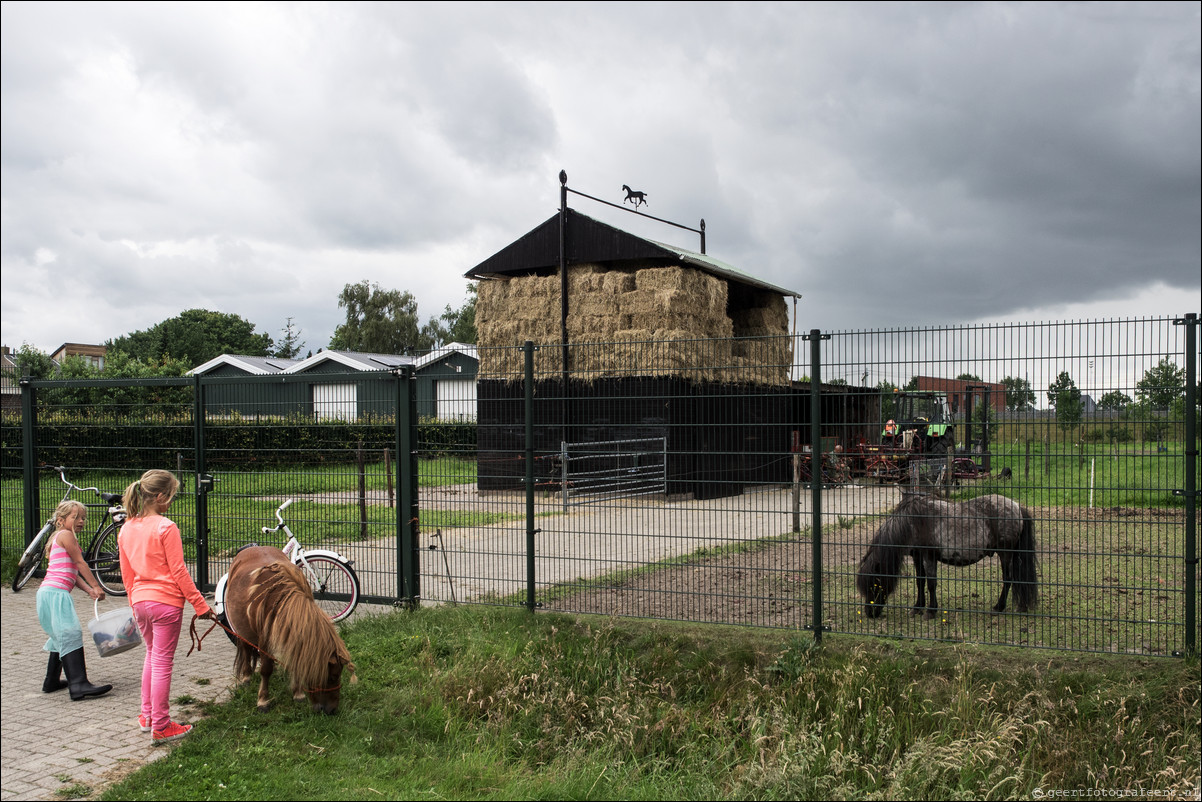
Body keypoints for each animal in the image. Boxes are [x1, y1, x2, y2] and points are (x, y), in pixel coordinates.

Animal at [225, 545, 353, 716]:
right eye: (332, 677)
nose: (332, 710)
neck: (279, 601)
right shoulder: (264, 641)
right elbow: (265, 669)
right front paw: (263, 701)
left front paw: (298, 694)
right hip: (241, 629)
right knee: (245, 649)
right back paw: (246, 677)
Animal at [855, 495, 1033, 620]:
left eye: (874, 584)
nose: (870, 613)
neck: (913, 521)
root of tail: (1016, 506)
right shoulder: (917, 556)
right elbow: (920, 582)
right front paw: (917, 608)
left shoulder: (929, 556)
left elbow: (931, 583)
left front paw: (931, 611)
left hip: (1005, 554)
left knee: (1008, 579)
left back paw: (998, 607)